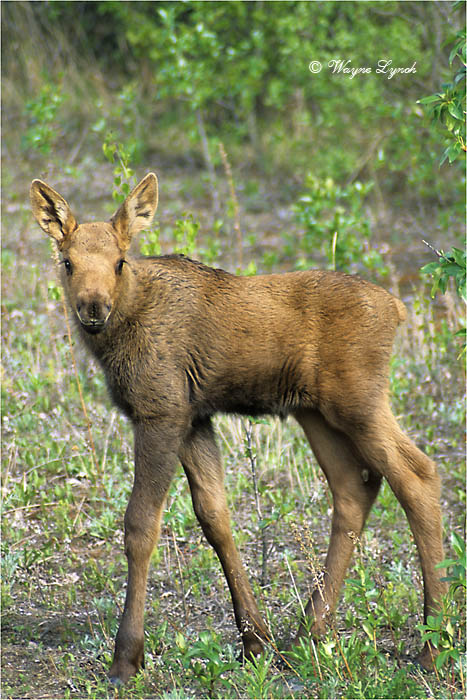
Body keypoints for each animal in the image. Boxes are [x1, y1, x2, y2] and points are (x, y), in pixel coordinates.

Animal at [30, 172, 446, 685]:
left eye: (119, 261)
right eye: (67, 262)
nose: (93, 308)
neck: (123, 331)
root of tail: (398, 309)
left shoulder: (161, 412)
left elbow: (140, 526)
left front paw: (127, 657)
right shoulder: (194, 419)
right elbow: (215, 517)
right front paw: (255, 639)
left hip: (359, 402)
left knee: (417, 476)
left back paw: (432, 645)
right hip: (317, 413)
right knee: (355, 487)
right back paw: (309, 631)